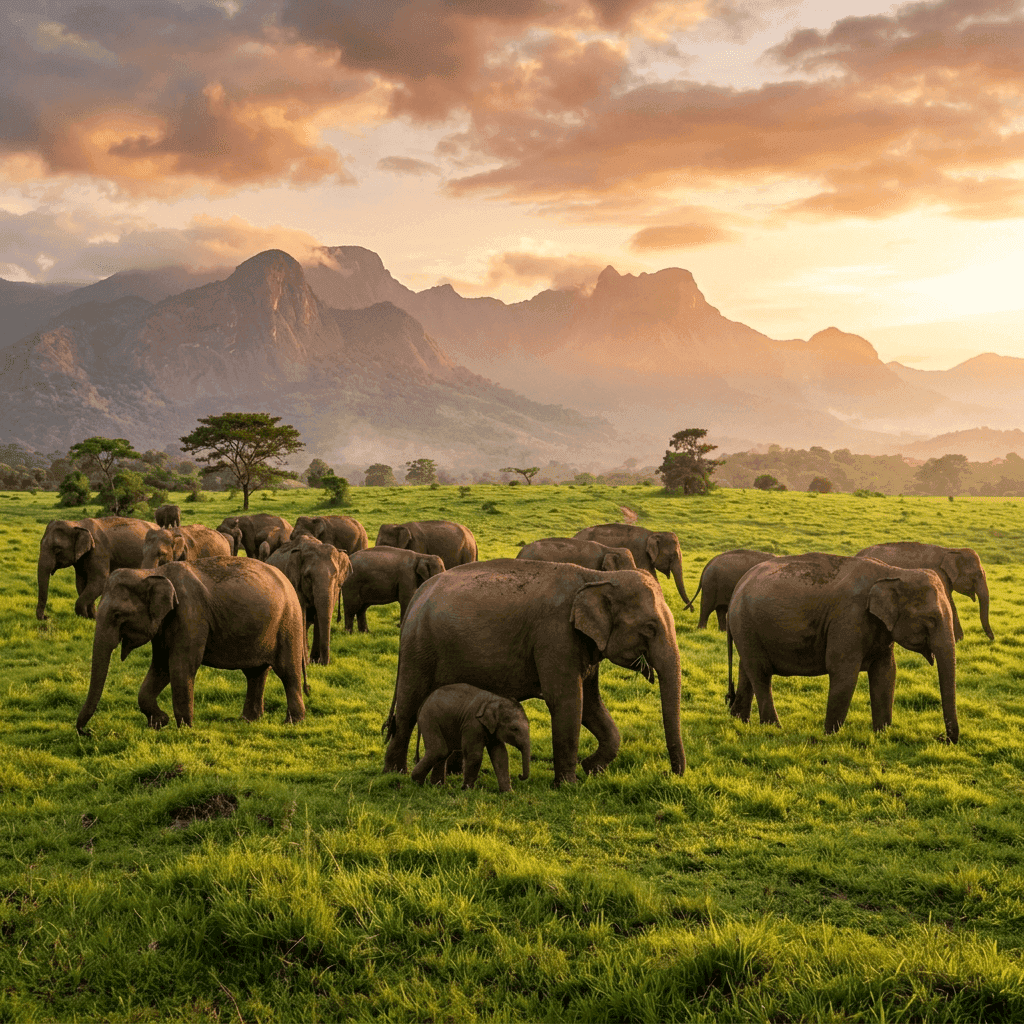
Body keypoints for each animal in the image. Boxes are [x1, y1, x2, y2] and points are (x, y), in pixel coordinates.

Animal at [76, 557, 307, 734]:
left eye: (117, 615)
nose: (87, 731)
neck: (153, 572)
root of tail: (288, 582)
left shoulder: (190, 615)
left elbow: (181, 666)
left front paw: (184, 729)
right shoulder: (165, 624)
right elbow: (160, 667)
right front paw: (159, 723)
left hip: (289, 623)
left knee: (288, 672)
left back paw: (292, 723)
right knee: (255, 673)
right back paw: (248, 720)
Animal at [267, 537, 352, 668]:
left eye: (335, 575)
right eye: (308, 577)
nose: (325, 663)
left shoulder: (335, 588)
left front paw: (314, 661)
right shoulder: (295, 583)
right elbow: (301, 615)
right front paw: (306, 663)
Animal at [383, 559, 686, 785]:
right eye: (650, 628)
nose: (670, 774)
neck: (597, 577)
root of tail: (418, 595)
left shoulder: (583, 644)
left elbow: (590, 704)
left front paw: (591, 768)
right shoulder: (555, 635)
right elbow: (567, 701)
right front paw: (569, 785)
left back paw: (453, 772)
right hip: (419, 649)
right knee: (409, 707)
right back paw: (395, 774)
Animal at [727, 553, 959, 742]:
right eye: (930, 620)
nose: (942, 738)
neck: (894, 571)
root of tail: (737, 587)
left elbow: (886, 673)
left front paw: (882, 735)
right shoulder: (849, 618)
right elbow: (843, 672)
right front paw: (829, 736)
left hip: (746, 630)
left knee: (746, 670)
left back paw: (740, 721)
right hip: (746, 624)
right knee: (761, 674)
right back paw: (774, 729)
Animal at [856, 542, 992, 642]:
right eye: (978, 575)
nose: (992, 639)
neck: (950, 550)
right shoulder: (939, 575)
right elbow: (949, 602)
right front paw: (959, 639)